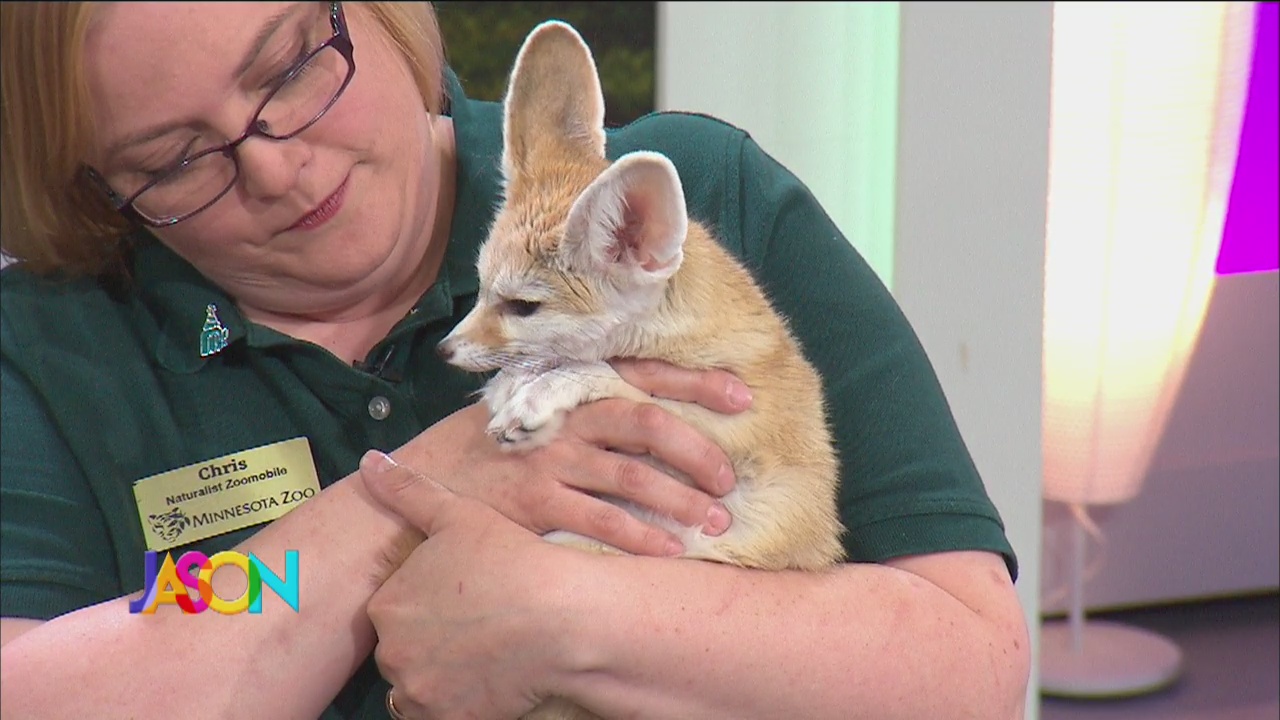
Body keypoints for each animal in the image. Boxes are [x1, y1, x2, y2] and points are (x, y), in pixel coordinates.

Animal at [435, 20, 846, 720]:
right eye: (480, 288)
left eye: (522, 306)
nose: (444, 350)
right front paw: (516, 383)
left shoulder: (737, 433)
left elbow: (620, 381)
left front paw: (541, 390)